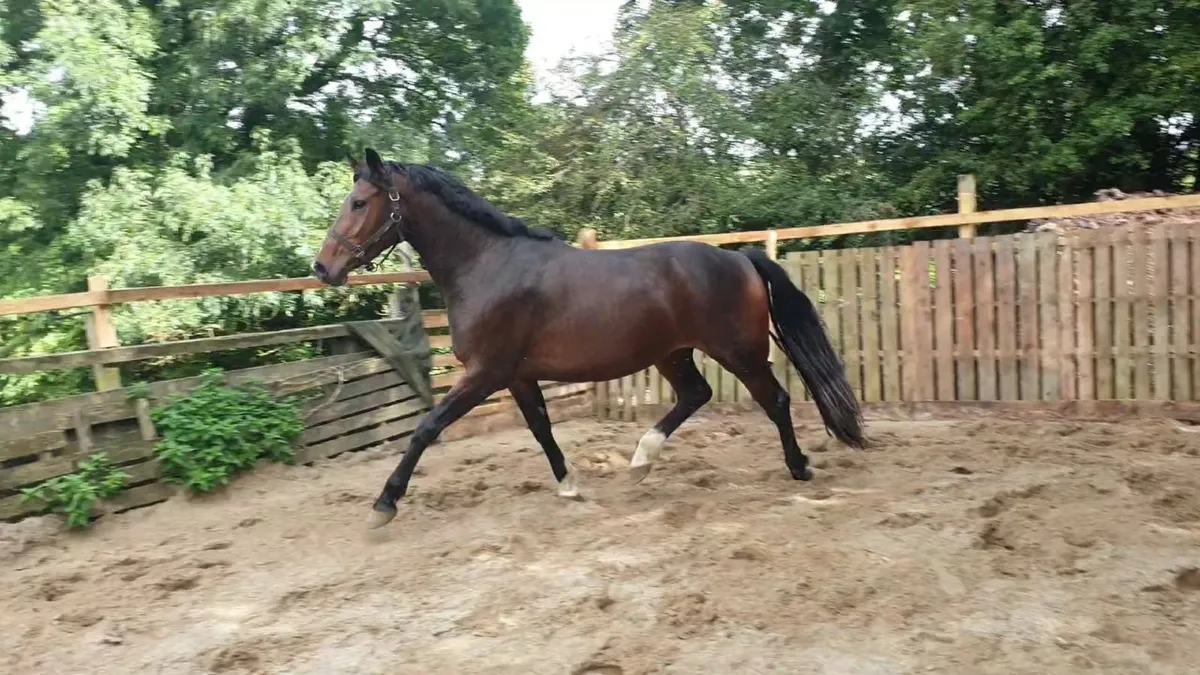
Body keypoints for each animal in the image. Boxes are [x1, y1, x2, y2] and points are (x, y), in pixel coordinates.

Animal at [313, 148, 866, 528]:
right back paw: (641, 461)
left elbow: (426, 429)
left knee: (775, 400)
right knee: (696, 394)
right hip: (673, 354)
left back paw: (799, 467)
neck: (487, 264)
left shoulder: (484, 373)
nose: (323, 268)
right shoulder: (516, 376)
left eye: (358, 202)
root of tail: (740, 258)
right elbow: (541, 429)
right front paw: (570, 487)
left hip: (738, 352)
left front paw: (384, 504)